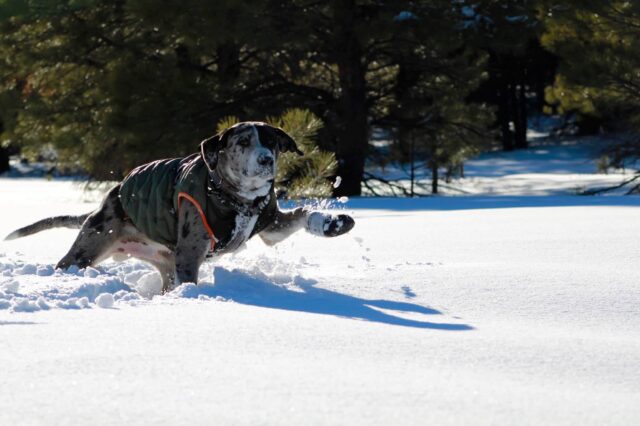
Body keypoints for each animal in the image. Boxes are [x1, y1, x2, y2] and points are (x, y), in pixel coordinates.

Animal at [5, 121, 356, 292]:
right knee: (68, 263)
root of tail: (105, 204)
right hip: (87, 250)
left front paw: (332, 223)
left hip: (163, 264)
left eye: (270, 142)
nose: (266, 160)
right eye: (243, 142)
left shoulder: (269, 225)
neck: (235, 198)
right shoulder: (190, 254)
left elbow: (301, 214)